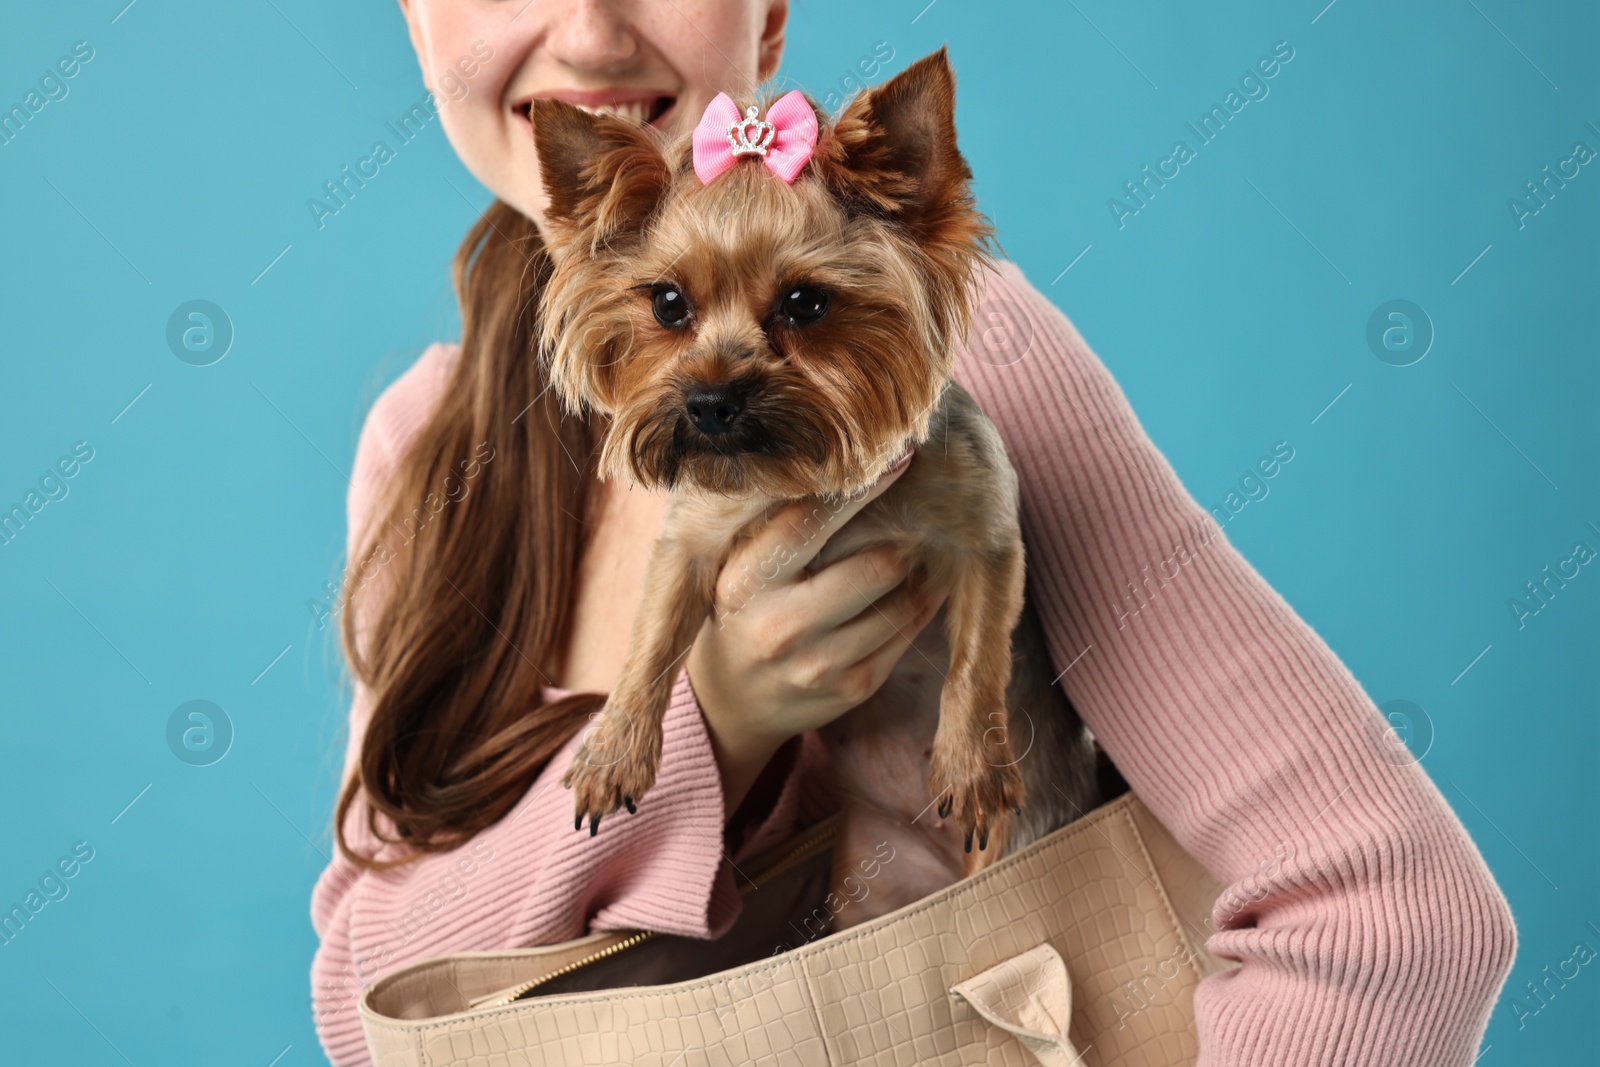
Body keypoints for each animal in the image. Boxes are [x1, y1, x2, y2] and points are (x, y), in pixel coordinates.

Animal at [537, 47, 1100, 908]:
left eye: (805, 302)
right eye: (668, 302)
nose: (710, 402)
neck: (796, 479)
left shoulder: (988, 535)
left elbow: (977, 654)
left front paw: (971, 765)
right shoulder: (690, 543)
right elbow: (654, 635)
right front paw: (613, 750)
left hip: (1016, 842)